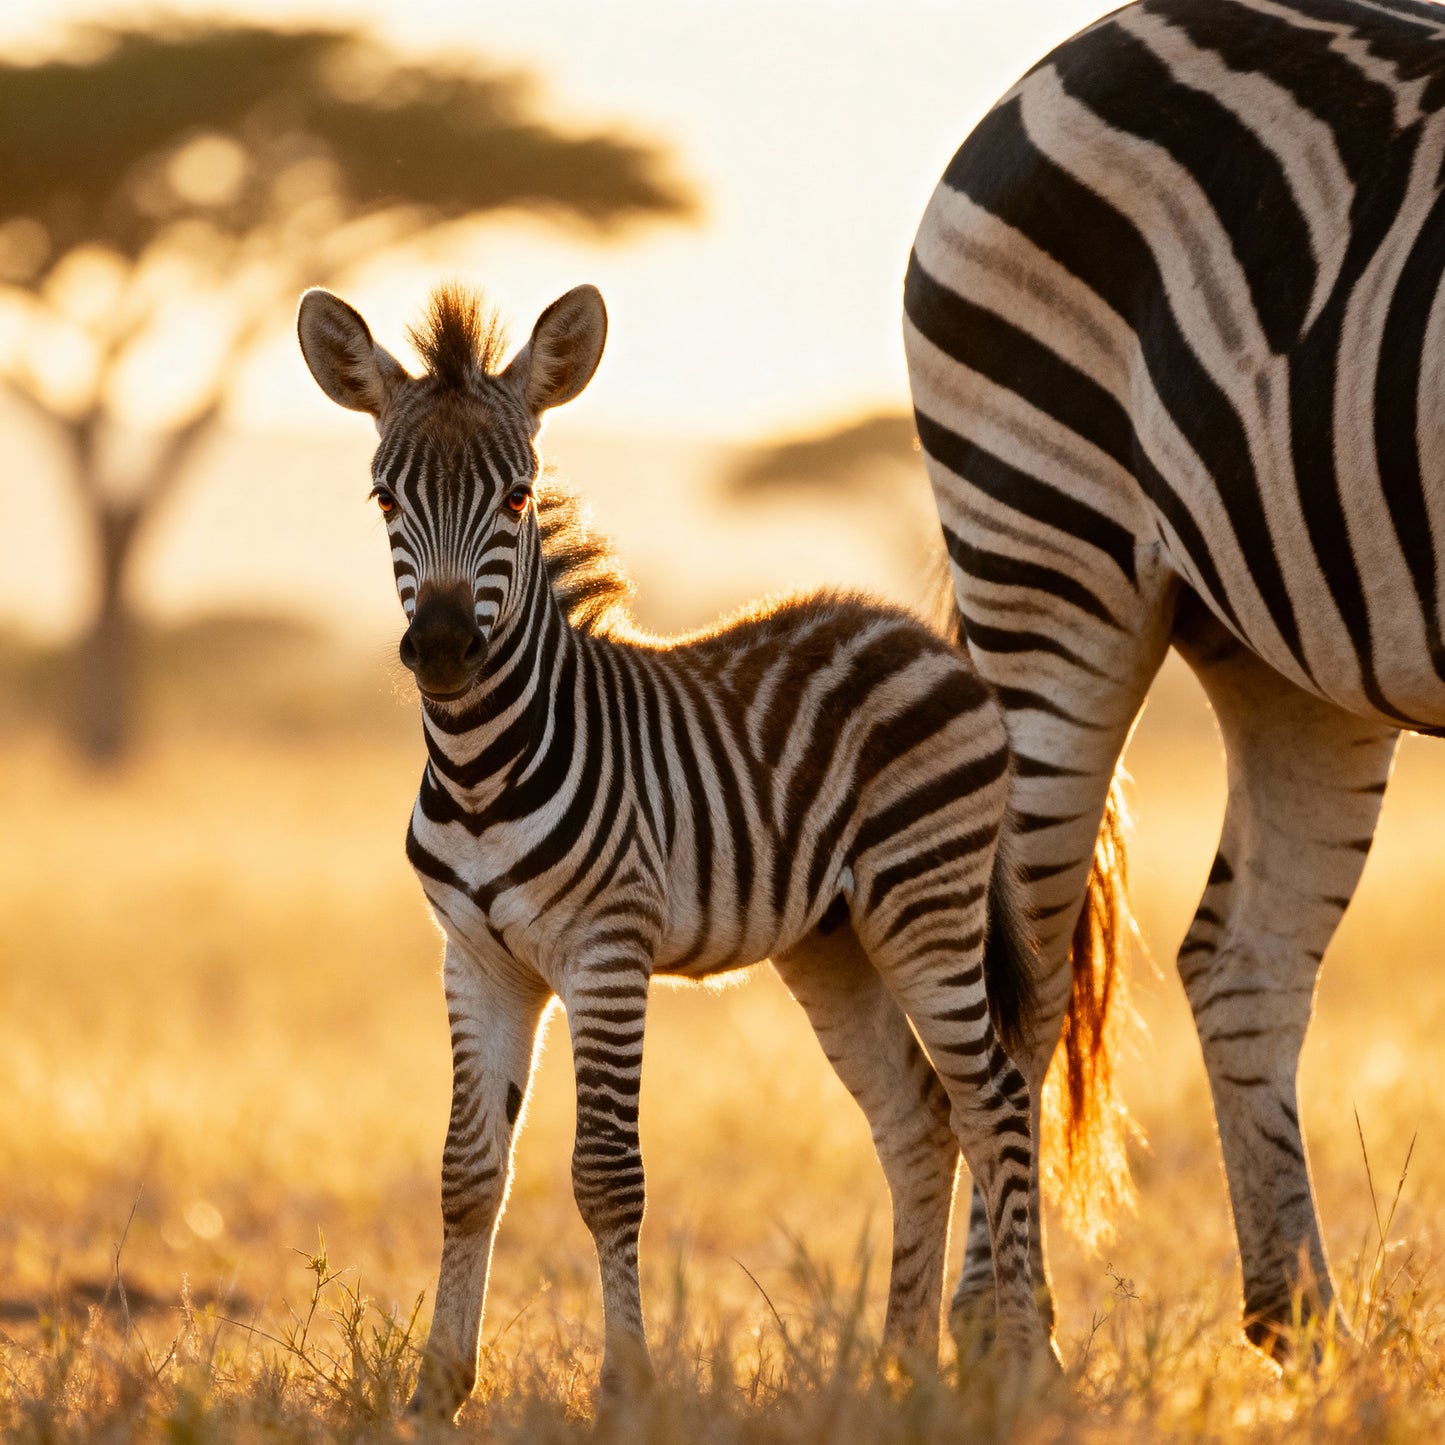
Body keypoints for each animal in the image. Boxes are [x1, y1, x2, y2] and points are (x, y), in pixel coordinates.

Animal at [296, 281, 1053, 1419]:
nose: (441, 649)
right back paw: (901, 1370)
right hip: (832, 943)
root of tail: (916, 631)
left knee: (995, 1098)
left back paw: (1027, 1366)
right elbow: (468, 1174)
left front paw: (626, 1385)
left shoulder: (606, 953)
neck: (480, 771)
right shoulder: (476, 961)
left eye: (516, 498)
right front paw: (435, 1388)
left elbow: (607, 1174)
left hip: (924, 902)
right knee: (920, 1118)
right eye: (385, 500)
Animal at [904, 0, 1445, 1358]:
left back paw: (1305, 1327)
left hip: (1297, 645)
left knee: (1240, 960)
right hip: (1045, 548)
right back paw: (1005, 1344)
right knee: (1014, 982)